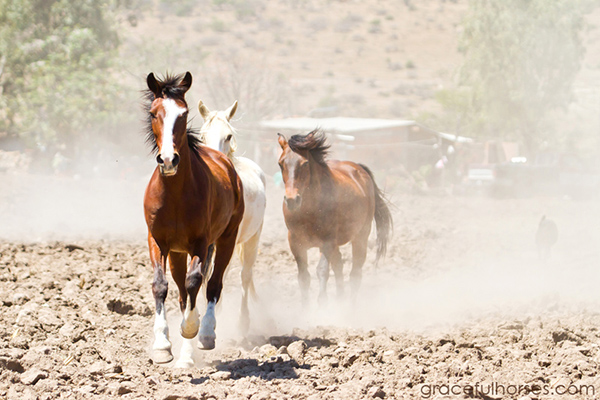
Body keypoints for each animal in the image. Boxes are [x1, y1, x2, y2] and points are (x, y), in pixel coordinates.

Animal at [143, 71, 244, 366]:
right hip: (177, 253)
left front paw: (191, 329)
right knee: (181, 292)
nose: (168, 160)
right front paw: (162, 345)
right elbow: (161, 286)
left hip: (226, 240)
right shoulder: (157, 241)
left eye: (184, 113)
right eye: (154, 113)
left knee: (212, 285)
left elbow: (195, 282)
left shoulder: (201, 242)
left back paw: (205, 333)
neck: (176, 194)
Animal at [278, 130, 394, 304]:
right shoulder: (296, 243)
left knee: (355, 273)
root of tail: (359, 169)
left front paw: (322, 303)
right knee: (339, 265)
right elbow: (304, 277)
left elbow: (322, 270)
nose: (292, 200)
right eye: (280, 163)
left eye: (305, 163)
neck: (309, 211)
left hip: (360, 237)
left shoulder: (328, 241)